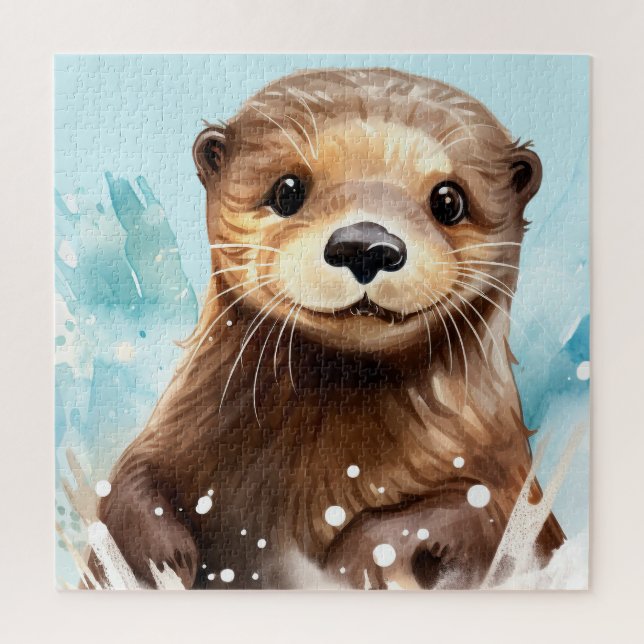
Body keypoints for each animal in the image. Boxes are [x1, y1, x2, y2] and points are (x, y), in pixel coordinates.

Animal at [93, 68, 564, 590]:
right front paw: (159, 564)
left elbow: (476, 517)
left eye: (448, 200)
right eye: (287, 189)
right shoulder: (174, 434)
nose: (366, 244)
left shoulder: (507, 477)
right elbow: (127, 487)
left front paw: (350, 564)